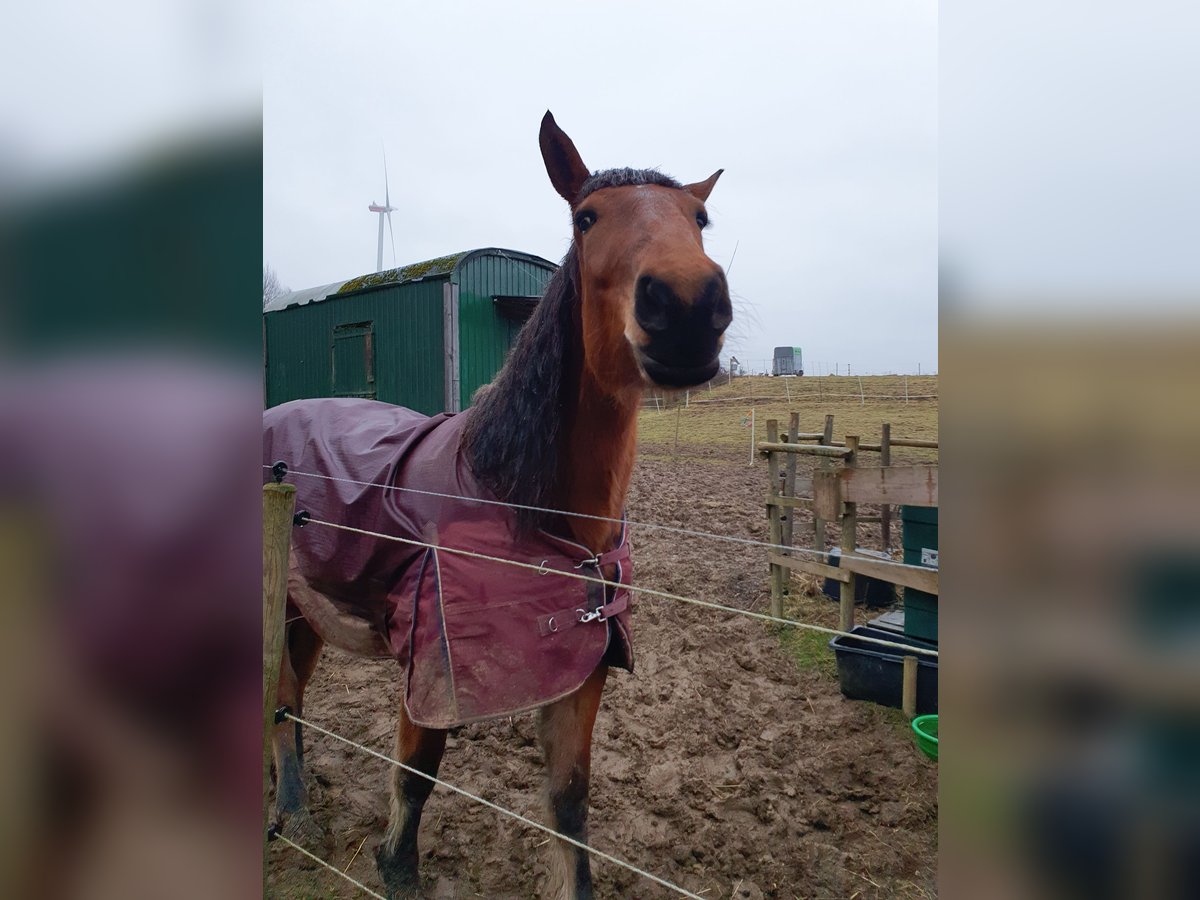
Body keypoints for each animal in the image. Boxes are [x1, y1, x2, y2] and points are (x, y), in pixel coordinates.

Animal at [265, 112, 729, 900]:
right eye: (584, 217)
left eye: (699, 219)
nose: (688, 306)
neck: (517, 502)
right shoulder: (434, 674)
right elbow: (414, 784)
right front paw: (394, 868)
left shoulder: (581, 673)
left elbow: (569, 806)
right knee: (279, 693)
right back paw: (291, 815)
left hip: (309, 609)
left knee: (289, 695)